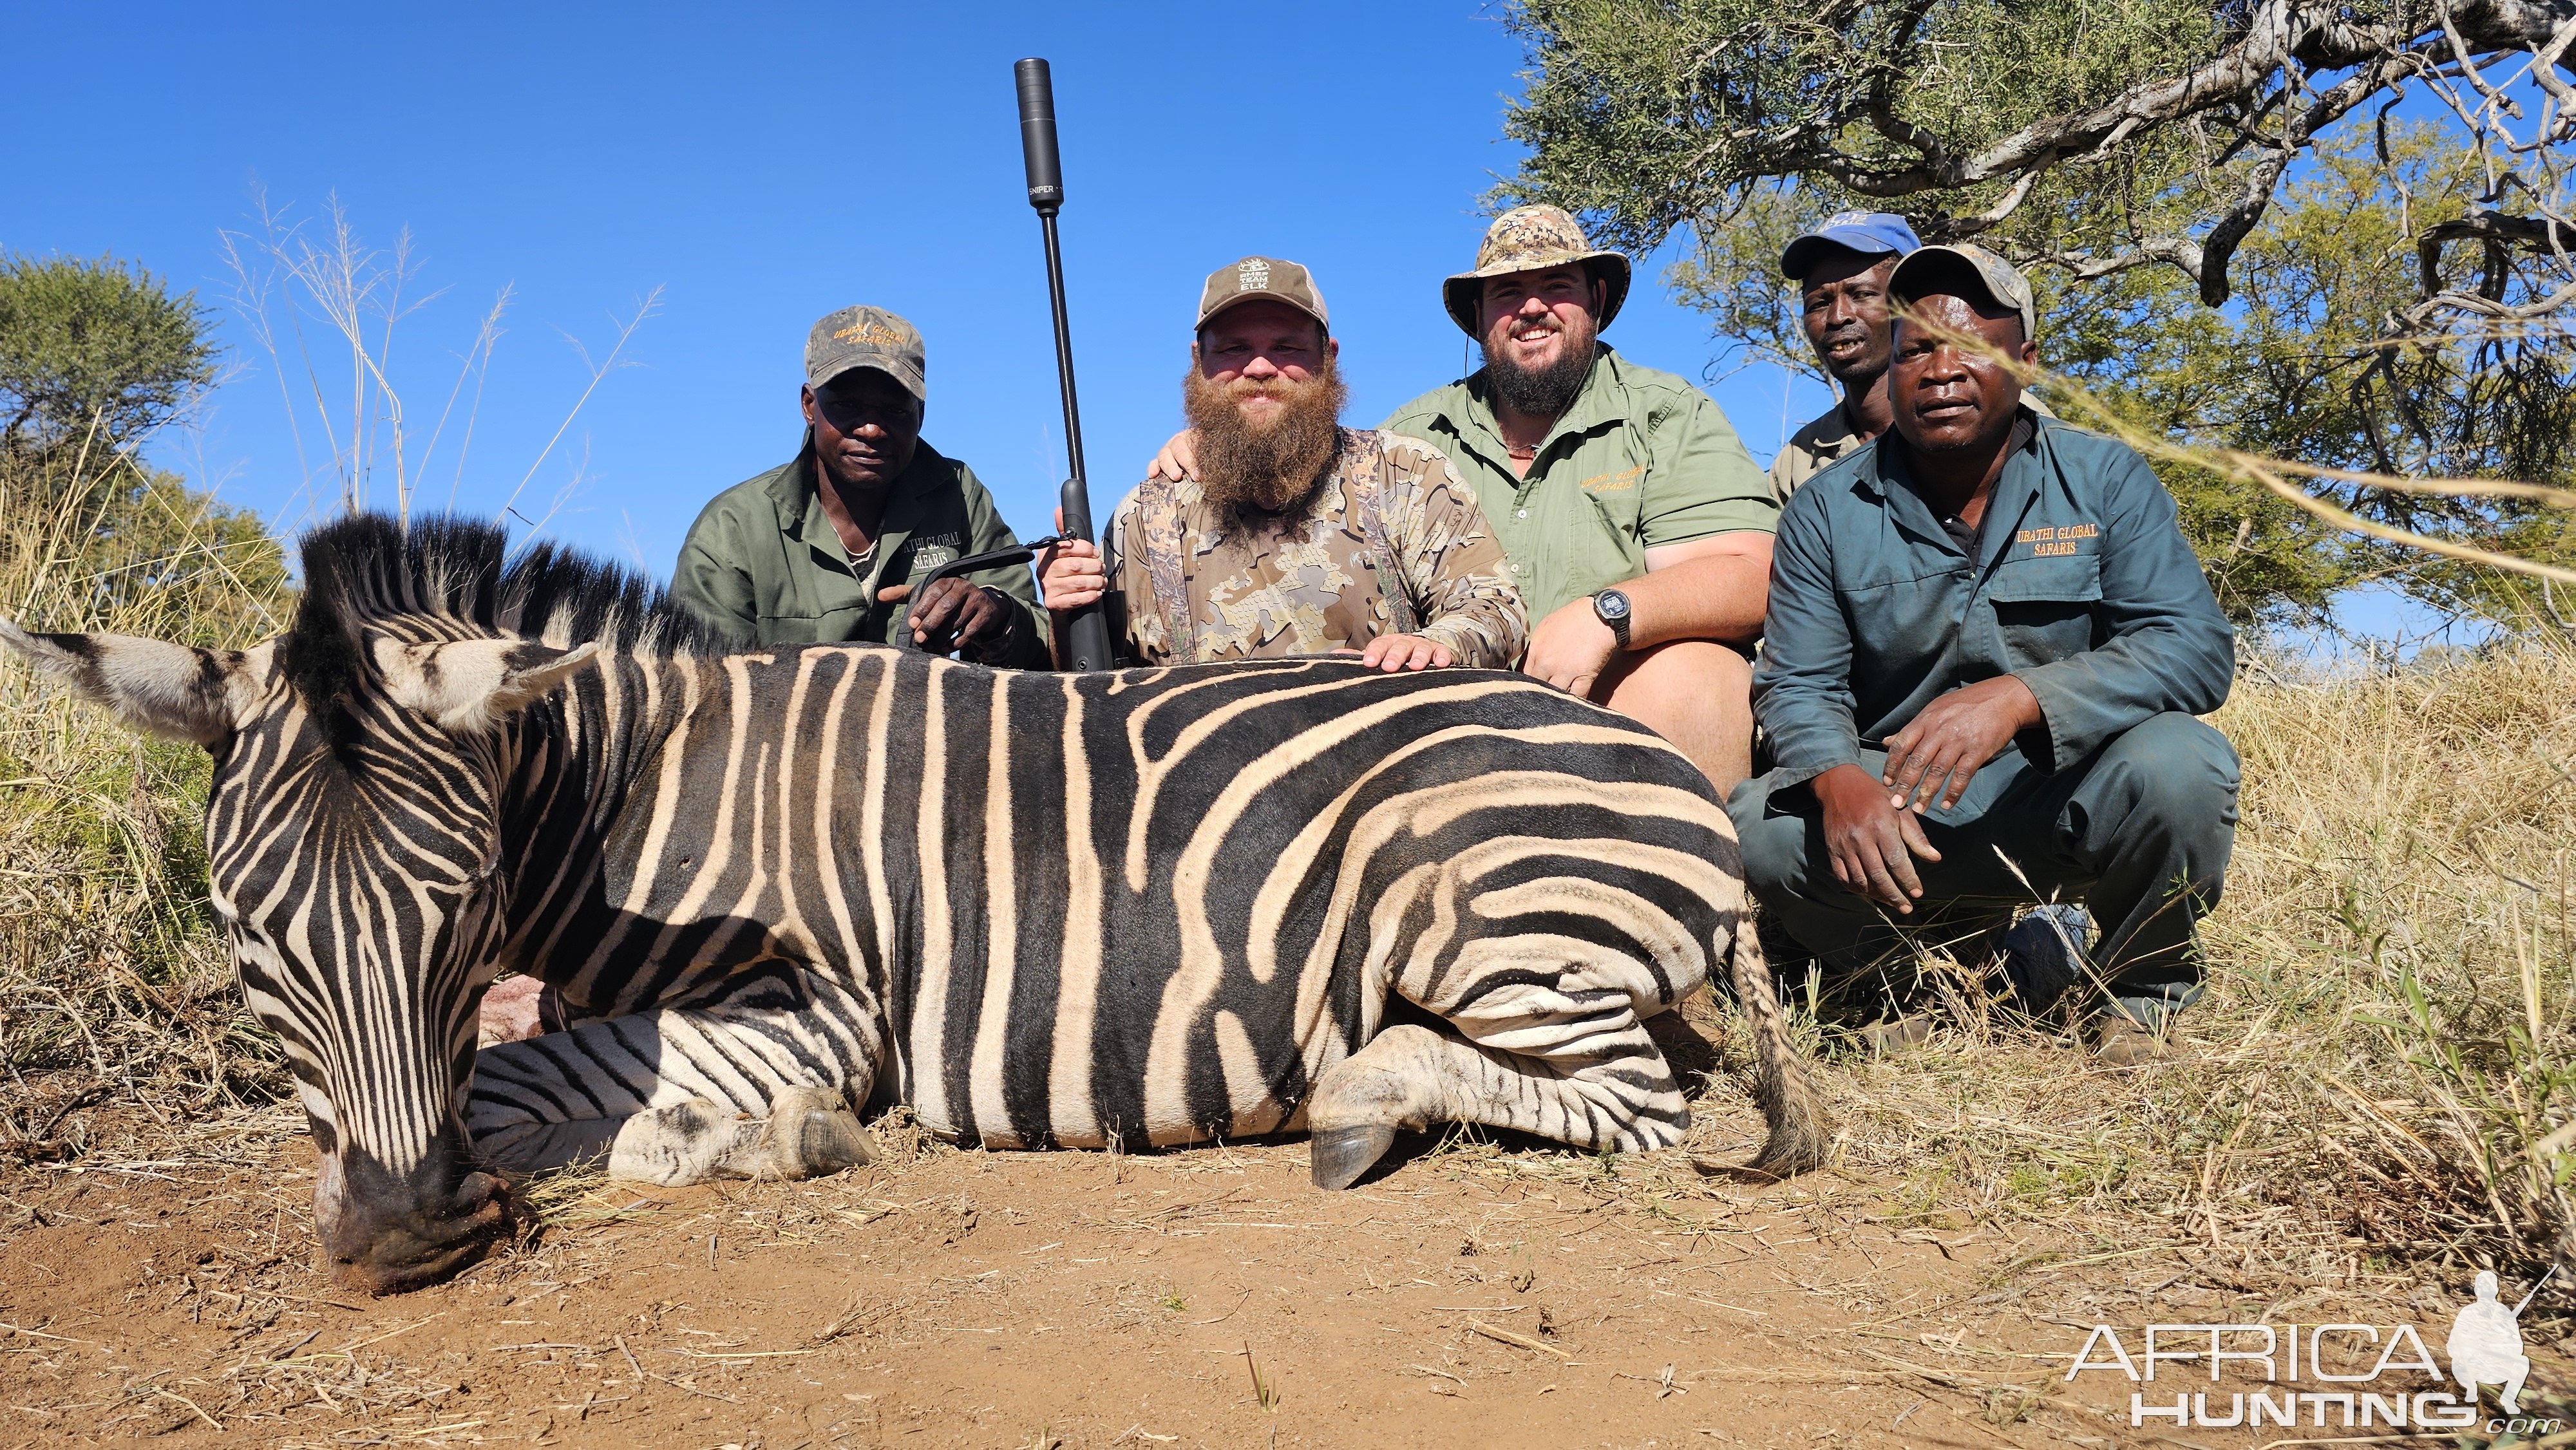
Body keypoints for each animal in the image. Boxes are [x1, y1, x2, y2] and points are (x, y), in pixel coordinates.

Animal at [0, 520, 1834, 1293]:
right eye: (246, 931)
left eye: (458, 916)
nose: (404, 1236)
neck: (632, 796)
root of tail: (1670, 782)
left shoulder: (818, 1004)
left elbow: (544, 1088)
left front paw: (751, 1136)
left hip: (1477, 910)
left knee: (1633, 1103)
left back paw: (1358, 1094)